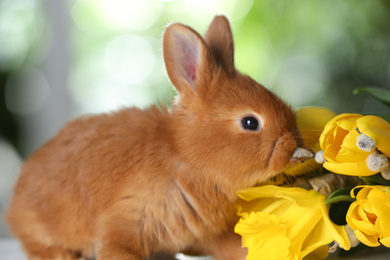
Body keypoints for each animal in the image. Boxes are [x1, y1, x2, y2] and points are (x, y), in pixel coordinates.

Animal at [5, 15, 304, 258]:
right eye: (250, 122)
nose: (294, 143)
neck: (187, 158)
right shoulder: (126, 222)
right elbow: (118, 249)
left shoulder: (211, 236)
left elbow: (236, 248)